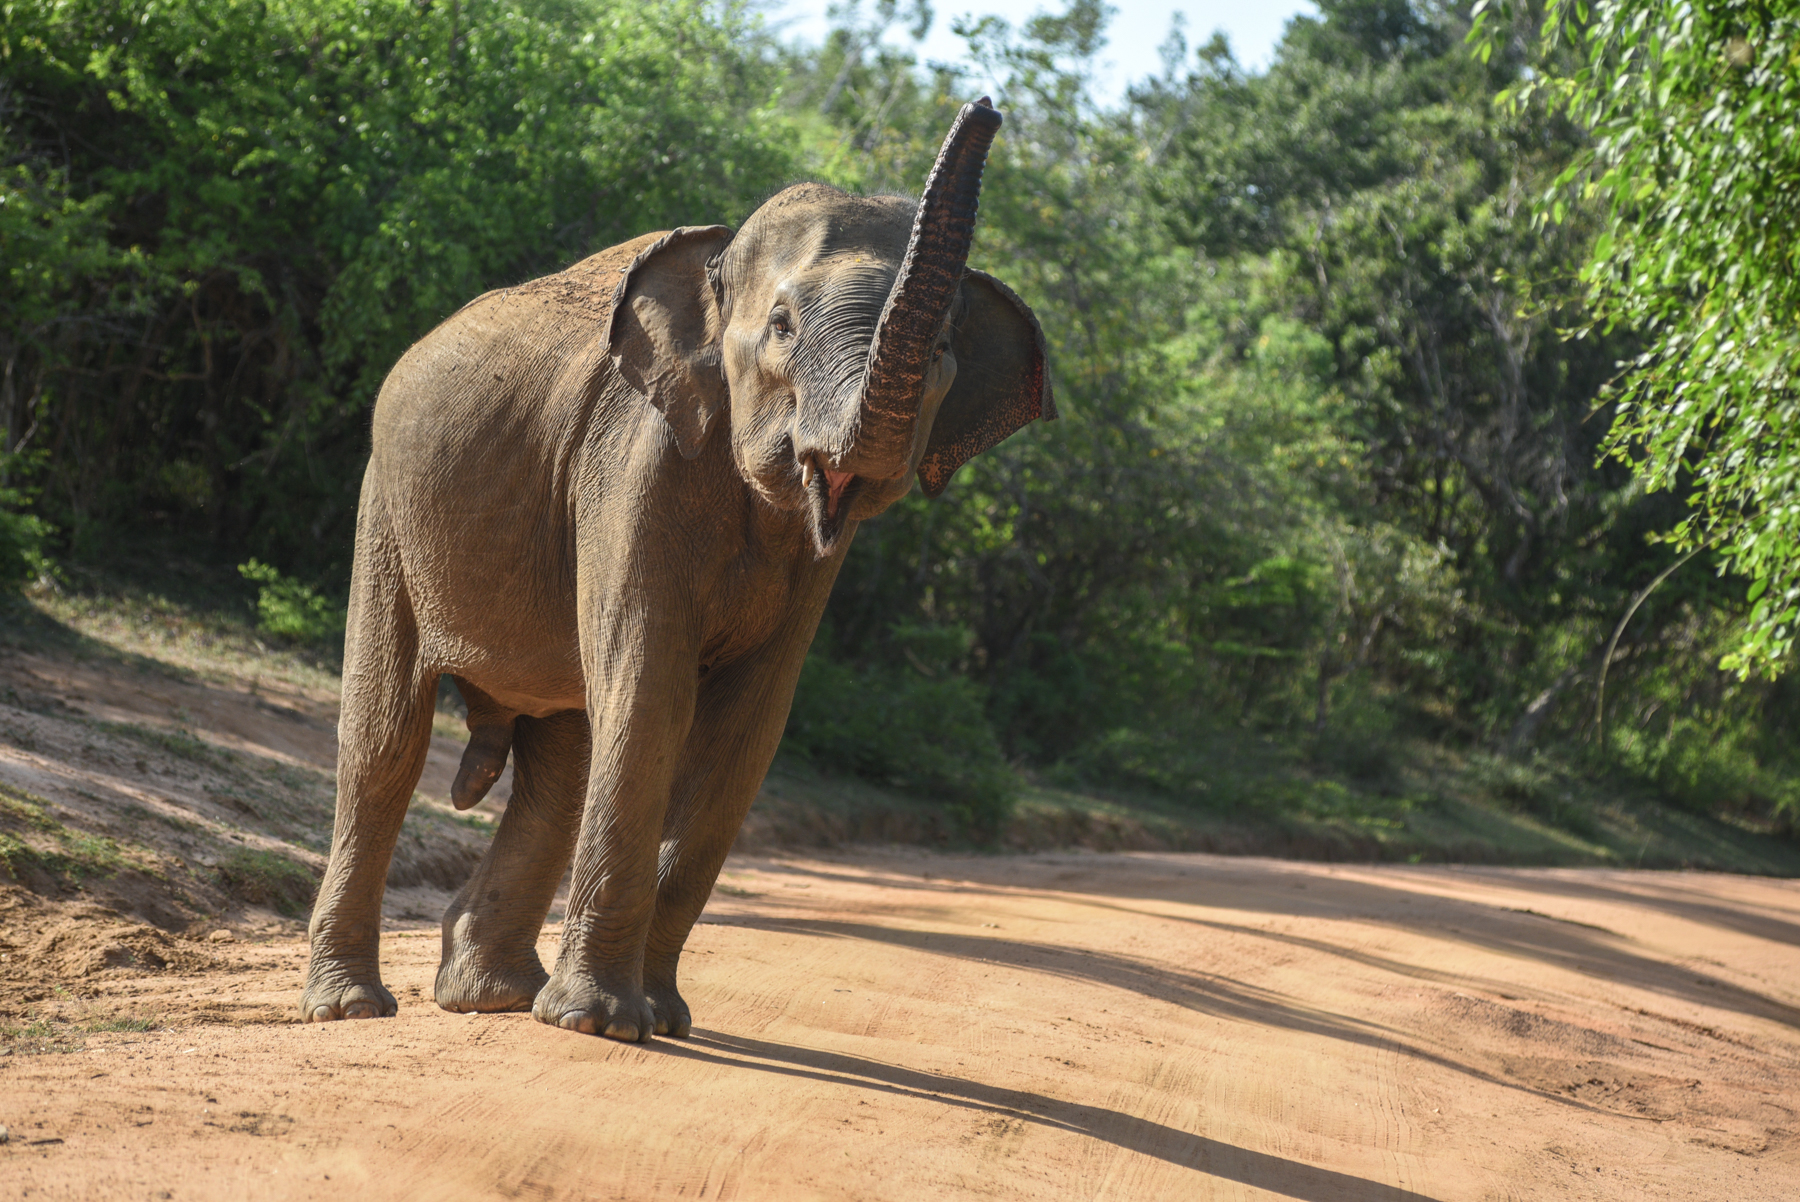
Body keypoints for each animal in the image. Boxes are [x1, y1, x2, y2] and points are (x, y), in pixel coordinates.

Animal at [297, 98, 1051, 1036]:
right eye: (781, 326)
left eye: (947, 346)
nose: (986, 105)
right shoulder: (631, 463)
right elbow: (656, 684)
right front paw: (602, 1025)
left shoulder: (815, 560)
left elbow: (746, 727)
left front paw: (656, 1018)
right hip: (387, 510)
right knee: (388, 739)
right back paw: (355, 1007)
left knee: (563, 755)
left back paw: (494, 995)